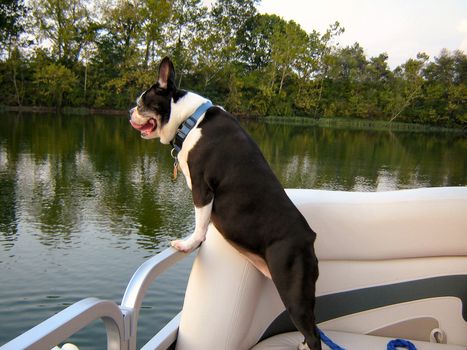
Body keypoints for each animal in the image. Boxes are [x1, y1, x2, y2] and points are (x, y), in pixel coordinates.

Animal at [130, 57, 324, 350]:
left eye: (142, 103)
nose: (130, 111)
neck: (191, 120)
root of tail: (308, 238)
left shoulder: (201, 187)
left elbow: (200, 222)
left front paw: (189, 243)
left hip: (294, 291)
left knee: (313, 334)